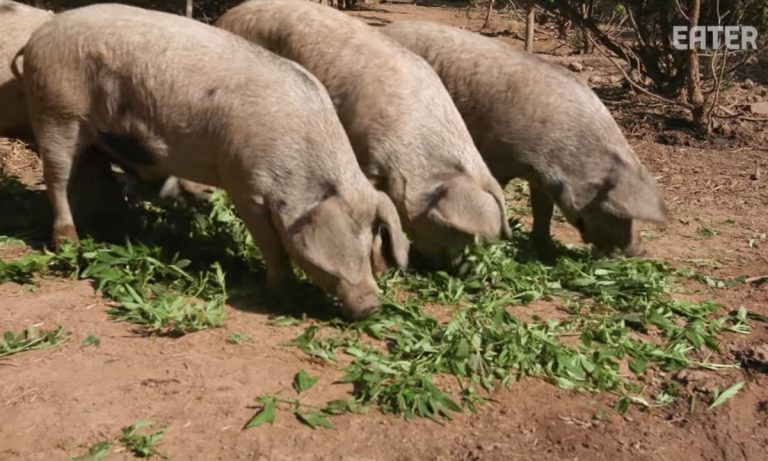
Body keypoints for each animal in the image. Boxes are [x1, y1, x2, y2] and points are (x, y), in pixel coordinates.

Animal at [14, 3, 408, 320]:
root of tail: (37, 37)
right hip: (57, 111)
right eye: (347, 251)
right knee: (57, 177)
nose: (371, 307)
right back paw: (70, 242)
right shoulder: (245, 184)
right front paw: (287, 301)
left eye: (370, 243)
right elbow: (272, 246)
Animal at [381, 20, 668, 258]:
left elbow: (543, 210)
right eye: (615, 211)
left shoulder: (540, 179)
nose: (641, 252)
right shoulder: (497, 154)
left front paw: (547, 249)